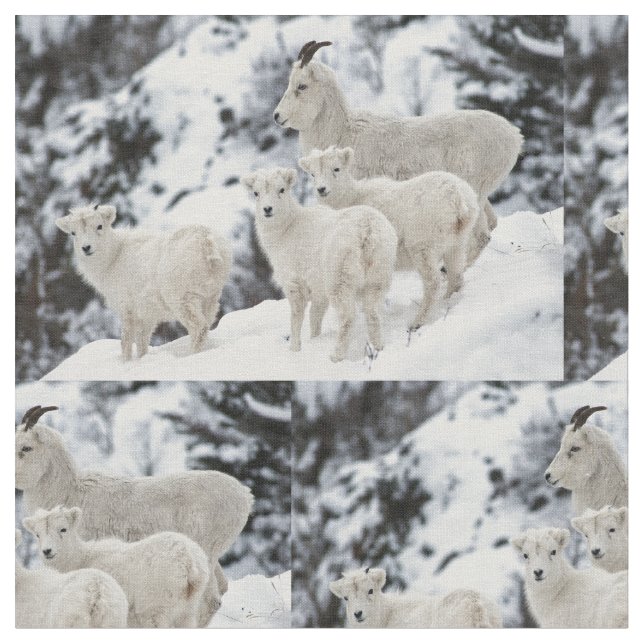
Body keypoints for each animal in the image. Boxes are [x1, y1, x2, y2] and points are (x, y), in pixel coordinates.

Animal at [24, 506, 210, 628]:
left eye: (63, 529)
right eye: (37, 534)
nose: (47, 551)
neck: (81, 558)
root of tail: (189, 560)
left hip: (157, 604)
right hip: (188, 608)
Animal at [55, 204, 232, 359]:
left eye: (99, 226)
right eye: (73, 233)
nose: (86, 248)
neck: (113, 258)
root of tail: (206, 242)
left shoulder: (127, 310)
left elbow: (126, 341)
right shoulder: (146, 316)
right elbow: (142, 342)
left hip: (182, 300)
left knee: (198, 328)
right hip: (210, 298)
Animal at [242, 167, 397, 362]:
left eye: (282, 189)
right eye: (256, 193)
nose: (267, 209)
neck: (285, 231)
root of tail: (367, 231)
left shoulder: (295, 283)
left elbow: (297, 317)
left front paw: (294, 349)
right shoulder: (318, 291)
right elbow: (315, 317)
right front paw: (314, 339)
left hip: (340, 279)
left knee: (347, 316)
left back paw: (336, 356)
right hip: (378, 276)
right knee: (373, 312)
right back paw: (377, 349)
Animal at [274, 40, 524, 255]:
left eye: (302, 86)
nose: (277, 116)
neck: (342, 131)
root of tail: (514, 136)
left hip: (475, 191)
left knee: (480, 236)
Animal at [300, 147, 479, 328]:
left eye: (336, 168)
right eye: (313, 174)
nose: (321, 189)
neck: (351, 198)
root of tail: (458, 198)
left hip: (423, 246)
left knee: (432, 283)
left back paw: (417, 321)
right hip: (456, 243)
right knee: (456, 275)